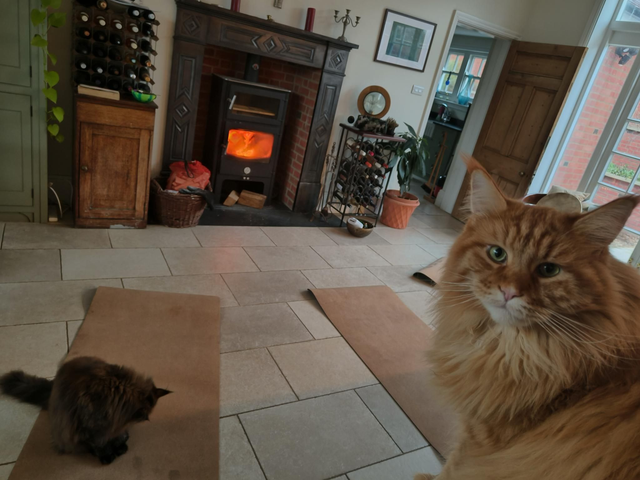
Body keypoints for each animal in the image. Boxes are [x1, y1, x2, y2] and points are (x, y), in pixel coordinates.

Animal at [0, 356, 170, 465]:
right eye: (144, 415)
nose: (145, 418)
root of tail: (52, 388)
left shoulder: (114, 426)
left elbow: (117, 437)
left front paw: (119, 447)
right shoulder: (90, 429)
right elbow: (100, 446)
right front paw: (107, 456)